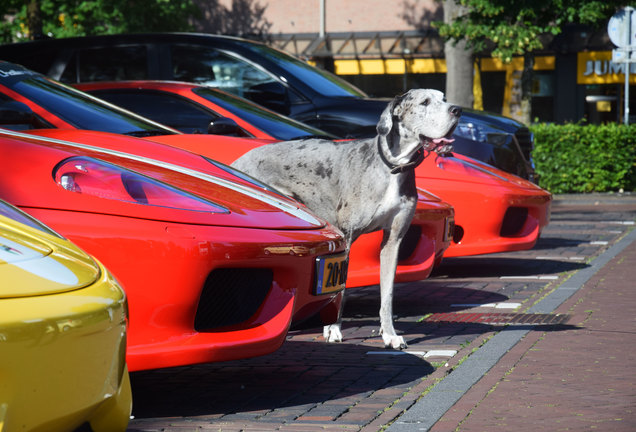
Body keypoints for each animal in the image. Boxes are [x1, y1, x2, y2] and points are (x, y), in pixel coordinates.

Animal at [231, 89, 460, 350]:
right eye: (425, 102)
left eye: (444, 99)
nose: (457, 110)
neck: (391, 167)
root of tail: (238, 162)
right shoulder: (347, 239)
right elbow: (339, 290)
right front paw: (332, 329)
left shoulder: (393, 241)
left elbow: (388, 294)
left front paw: (390, 335)